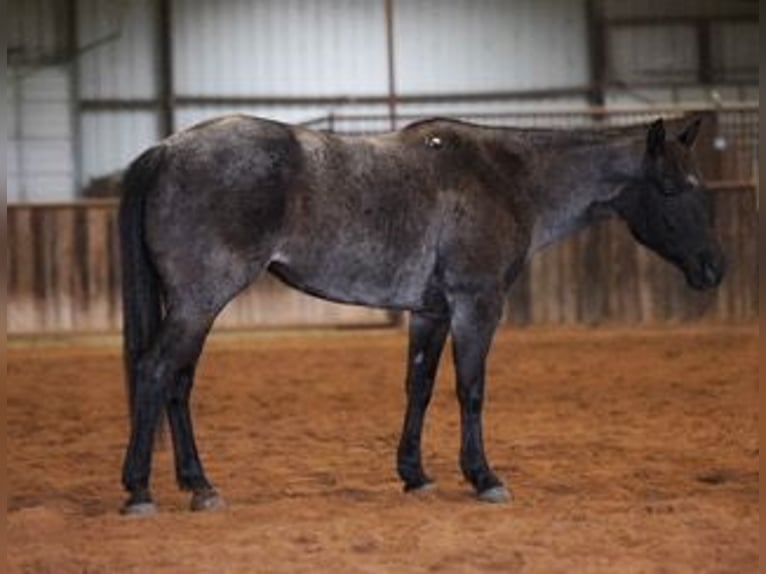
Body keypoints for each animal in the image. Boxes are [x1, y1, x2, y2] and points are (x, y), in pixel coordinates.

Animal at [118, 113, 725, 515]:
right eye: (674, 188)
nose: (715, 268)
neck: (506, 178)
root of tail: (166, 149)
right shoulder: (477, 304)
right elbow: (471, 389)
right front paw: (484, 477)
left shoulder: (430, 312)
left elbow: (420, 387)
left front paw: (415, 475)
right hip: (200, 300)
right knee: (155, 372)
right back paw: (141, 490)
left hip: (194, 306)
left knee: (177, 383)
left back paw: (199, 486)